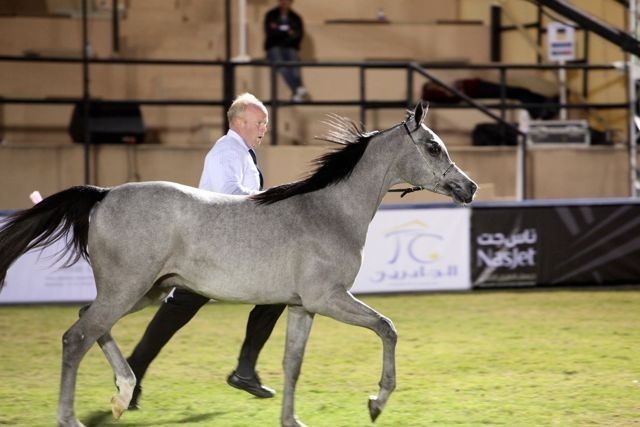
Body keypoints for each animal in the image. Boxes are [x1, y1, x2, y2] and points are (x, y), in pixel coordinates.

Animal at [0, 102, 477, 427]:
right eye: (433, 147)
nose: (469, 187)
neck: (330, 211)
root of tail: (102, 193)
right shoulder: (329, 299)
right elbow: (387, 328)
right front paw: (377, 402)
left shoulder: (303, 307)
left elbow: (292, 363)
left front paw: (291, 419)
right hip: (127, 289)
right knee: (77, 336)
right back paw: (75, 415)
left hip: (144, 291)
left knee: (89, 322)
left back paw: (124, 392)